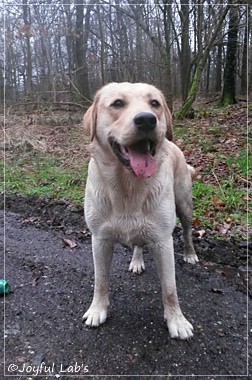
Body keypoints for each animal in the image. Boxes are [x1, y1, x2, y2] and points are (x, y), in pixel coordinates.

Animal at [83, 82, 198, 338]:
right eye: (117, 103)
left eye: (154, 103)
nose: (147, 120)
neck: (128, 185)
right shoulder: (99, 239)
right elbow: (100, 280)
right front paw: (97, 310)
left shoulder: (163, 241)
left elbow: (169, 288)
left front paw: (176, 321)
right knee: (137, 240)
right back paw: (136, 260)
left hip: (184, 203)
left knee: (187, 230)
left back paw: (190, 253)